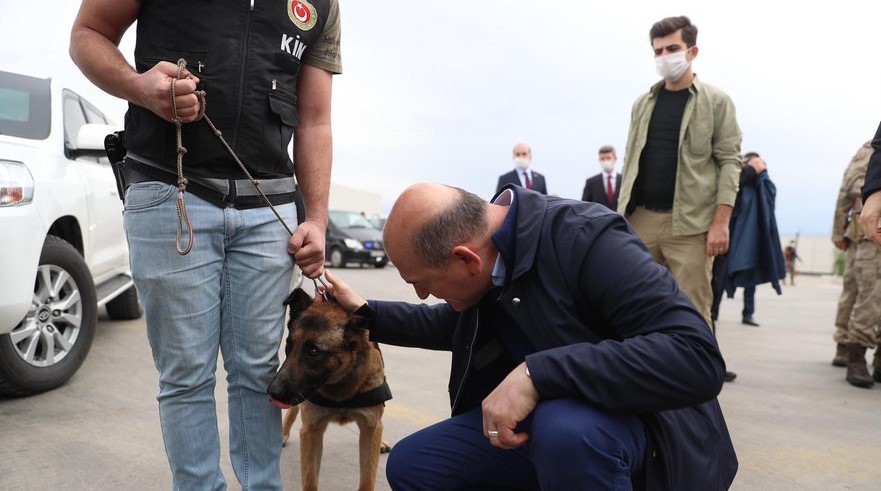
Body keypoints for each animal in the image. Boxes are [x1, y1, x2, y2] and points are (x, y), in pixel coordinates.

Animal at [268, 288, 392, 491]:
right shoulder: (311, 431)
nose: (273, 391)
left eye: (313, 352)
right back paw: (283, 433)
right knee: (293, 411)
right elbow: (310, 481)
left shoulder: (369, 427)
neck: (341, 385)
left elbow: (367, 478)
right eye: (289, 345)